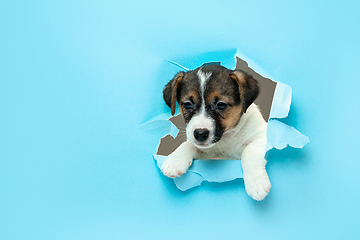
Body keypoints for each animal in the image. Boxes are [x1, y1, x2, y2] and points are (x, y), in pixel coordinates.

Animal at [160, 64, 270, 201]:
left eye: (221, 105)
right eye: (187, 104)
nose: (200, 134)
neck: (225, 139)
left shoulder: (262, 136)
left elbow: (249, 152)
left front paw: (256, 184)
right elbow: (188, 144)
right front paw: (175, 160)